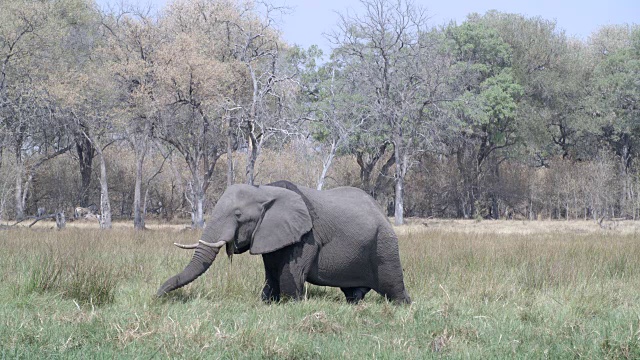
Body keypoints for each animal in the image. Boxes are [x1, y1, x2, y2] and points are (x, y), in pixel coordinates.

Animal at [158, 180, 412, 304]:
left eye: (238, 215)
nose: (158, 295)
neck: (266, 190)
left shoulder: (306, 237)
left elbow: (289, 273)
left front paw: (290, 305)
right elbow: (271, 272)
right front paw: (267, 303)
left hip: (384, 244)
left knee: (393, 287)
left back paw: (403, 306)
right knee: (354, 293)